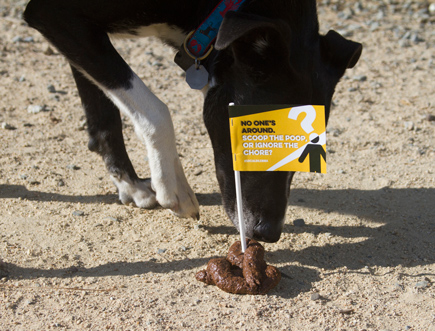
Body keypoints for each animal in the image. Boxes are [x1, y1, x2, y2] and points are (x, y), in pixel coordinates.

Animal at [23, 0, 364, 244]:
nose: (268, 233)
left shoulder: (76, 28)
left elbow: (103, 116)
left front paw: (129, 182)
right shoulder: (55, 13)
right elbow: (157, 111)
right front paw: (172, 185)